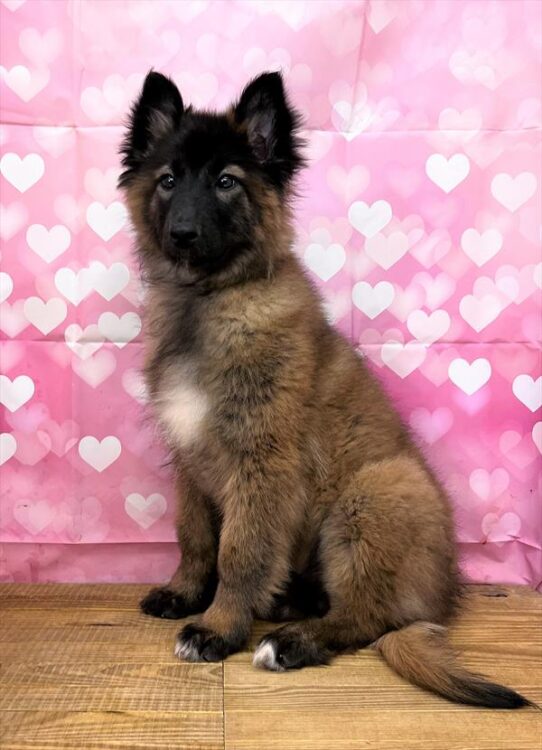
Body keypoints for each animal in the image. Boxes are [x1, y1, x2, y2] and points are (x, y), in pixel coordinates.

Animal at [118, 72, 536, 712]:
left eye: (225, 182)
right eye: (168, 180)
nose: (183, 234)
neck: (208, 299)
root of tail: (443, 596)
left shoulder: (262, 464)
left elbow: (238, 551)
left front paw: (219, 626)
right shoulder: (189, 457)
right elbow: (194, 536)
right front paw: (185, 592)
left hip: (375, 492)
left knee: (366, 619)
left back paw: (293, 640)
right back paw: (287, 603)